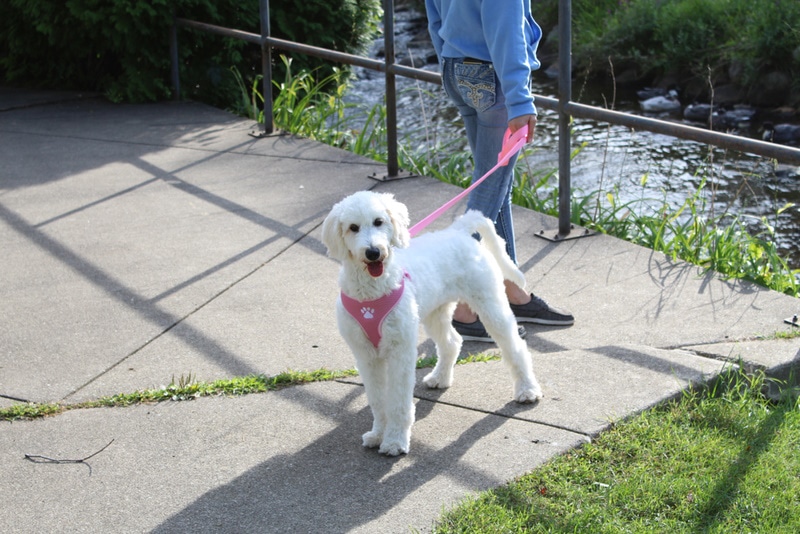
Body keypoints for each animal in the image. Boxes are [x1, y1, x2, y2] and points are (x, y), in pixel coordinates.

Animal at [322, 193, 540, 456]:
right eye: (353, 227)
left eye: (378, 222)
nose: (373, 252)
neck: (372, 293)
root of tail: (458, 230)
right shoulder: (366, 356)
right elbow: (377, 399)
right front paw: (378, 434)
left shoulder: (401, 351)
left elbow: (398, 402)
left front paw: (395, 441)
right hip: (436, 313)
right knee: (452, 342)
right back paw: (440, 377)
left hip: (491, 305)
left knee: (515, 348)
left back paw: (527, 390)